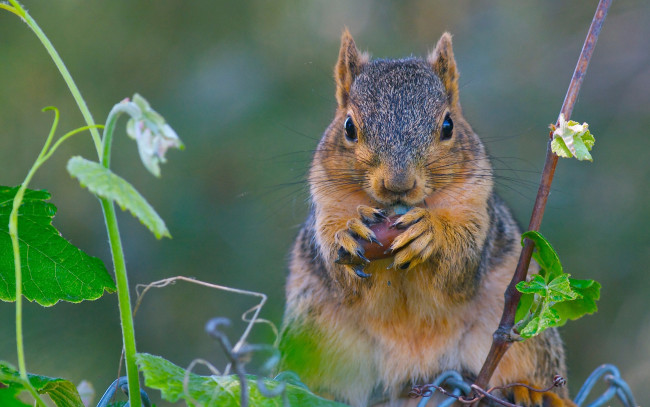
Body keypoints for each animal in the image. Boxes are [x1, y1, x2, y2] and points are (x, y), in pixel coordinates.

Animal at [276, 30, 568, 406]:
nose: (398, 184)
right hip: (316, 334)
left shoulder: (476, 208)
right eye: (349, 127)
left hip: (527, 339)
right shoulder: (326, 205)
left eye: (448, 125)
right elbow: (338, 269)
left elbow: (461, 263)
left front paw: (431, 233)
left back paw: (526, 391)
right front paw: (348, 233)